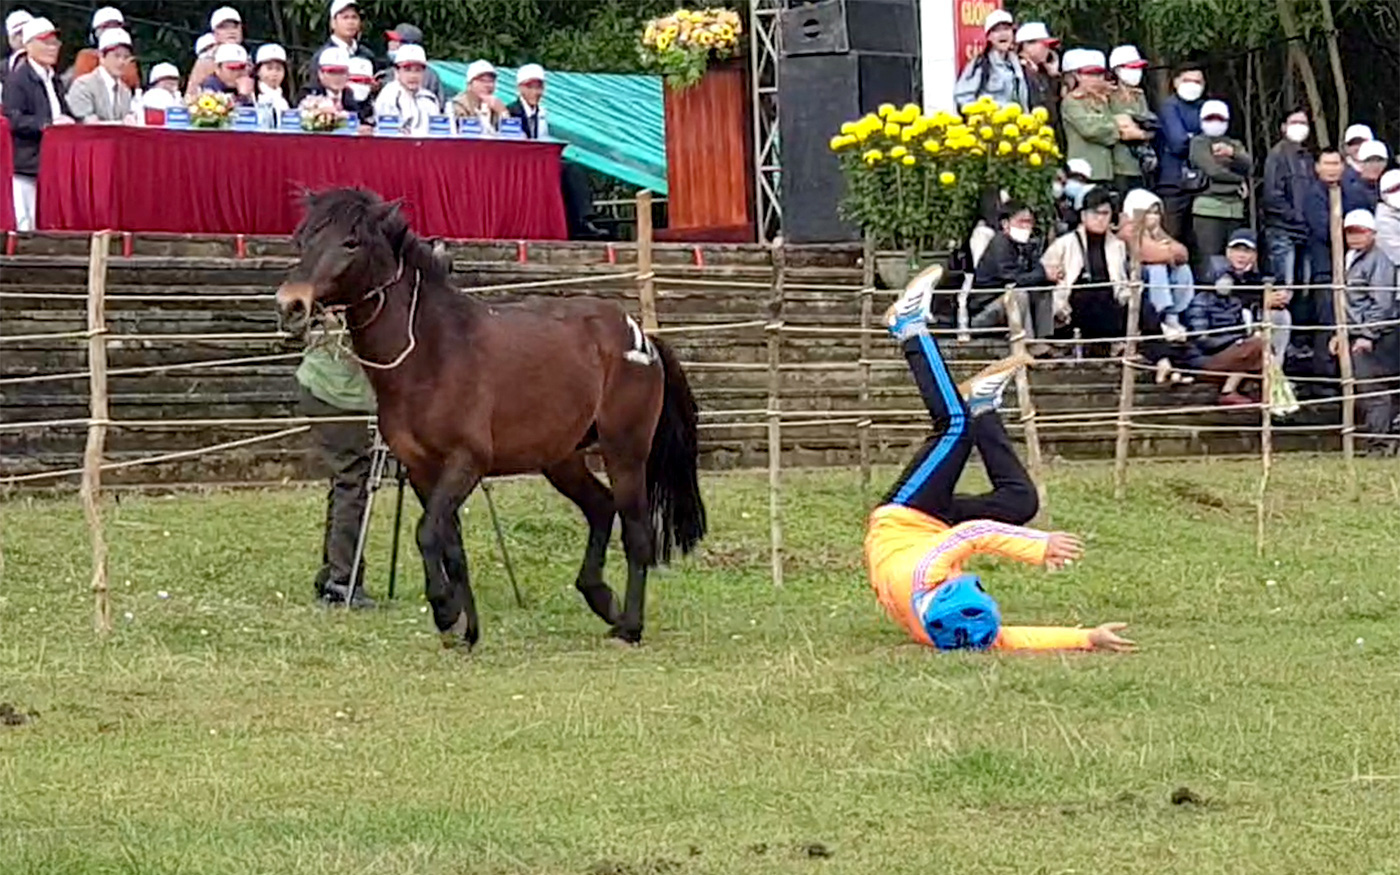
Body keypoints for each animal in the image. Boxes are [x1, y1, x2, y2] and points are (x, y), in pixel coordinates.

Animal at [273, 187, 705, 644]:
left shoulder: (467, 462)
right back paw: (602, 599)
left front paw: (445, 611)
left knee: (637, 531)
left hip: (625, 451)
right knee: (601, 508)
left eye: (351, 242)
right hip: (561, 459)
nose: (291, 305)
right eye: (302, 240)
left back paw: (630, 626)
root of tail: (641, 338)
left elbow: (426, 533)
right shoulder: (423, 470)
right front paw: (466, 628)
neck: (432, 352)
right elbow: (450, 545)